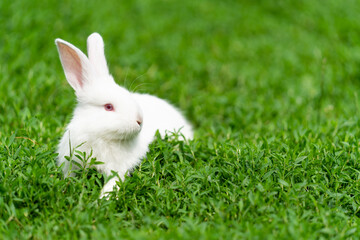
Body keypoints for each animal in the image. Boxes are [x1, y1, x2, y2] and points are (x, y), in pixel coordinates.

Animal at [54, 32, 193, 197]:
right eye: (108, 107)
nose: (140, 121)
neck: (101, 137)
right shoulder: (69, 162)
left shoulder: (117, 170)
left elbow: (112, 184)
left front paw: (102, 200)